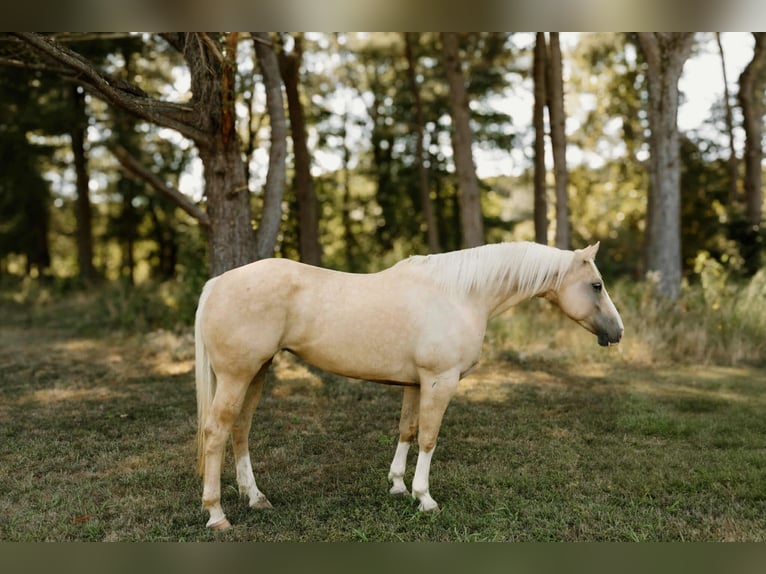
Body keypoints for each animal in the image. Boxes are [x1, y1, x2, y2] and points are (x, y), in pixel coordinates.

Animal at [194, 241, 624, 530]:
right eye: (597, 285)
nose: (618, 332)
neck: (460, 294)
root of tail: (217, 283)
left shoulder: (415, 384)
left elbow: (407, 429)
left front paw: (398, 486)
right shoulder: (439, 380)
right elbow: (429, 437)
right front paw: (424, 498)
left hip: (258, 371)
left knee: (241, 429)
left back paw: (255, 497)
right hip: (237, 375)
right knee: (216, 432)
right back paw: (216, 514)